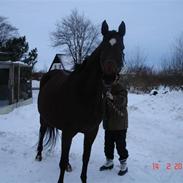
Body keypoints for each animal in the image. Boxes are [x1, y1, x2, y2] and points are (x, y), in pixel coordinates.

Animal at [37, 20, 126, 183]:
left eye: (122, 47)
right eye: (102, 47)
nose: (108, 77)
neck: (84, 95)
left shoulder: (91, 133)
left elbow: (85, 158)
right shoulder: (68, 132)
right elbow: (62, 160)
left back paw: (68, 165)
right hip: (43, 118)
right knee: (41, 132)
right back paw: (39, 154)